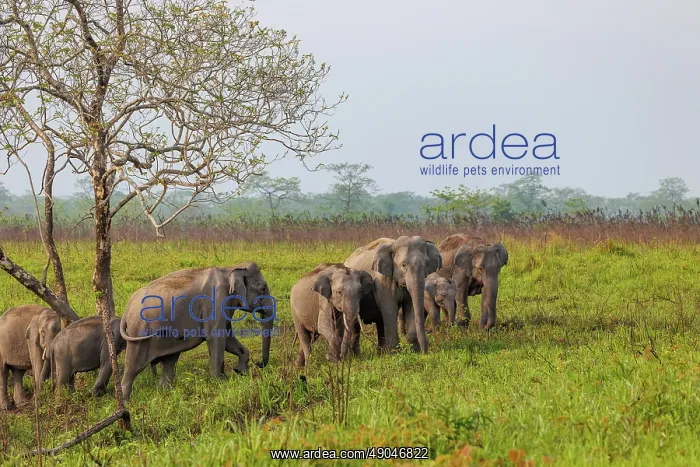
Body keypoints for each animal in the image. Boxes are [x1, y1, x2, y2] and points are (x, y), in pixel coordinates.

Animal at [119, 262, 273, 400]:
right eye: (263, 289)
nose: (258, 364)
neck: (230, 268)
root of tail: (127, 310)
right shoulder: (214, 302)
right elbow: (216, 338)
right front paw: (220, 381)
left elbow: (228, 339)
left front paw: (241, 372)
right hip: (139, 331)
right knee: (133, 366)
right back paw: (126, 400)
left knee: (170, 360)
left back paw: (165, 392)